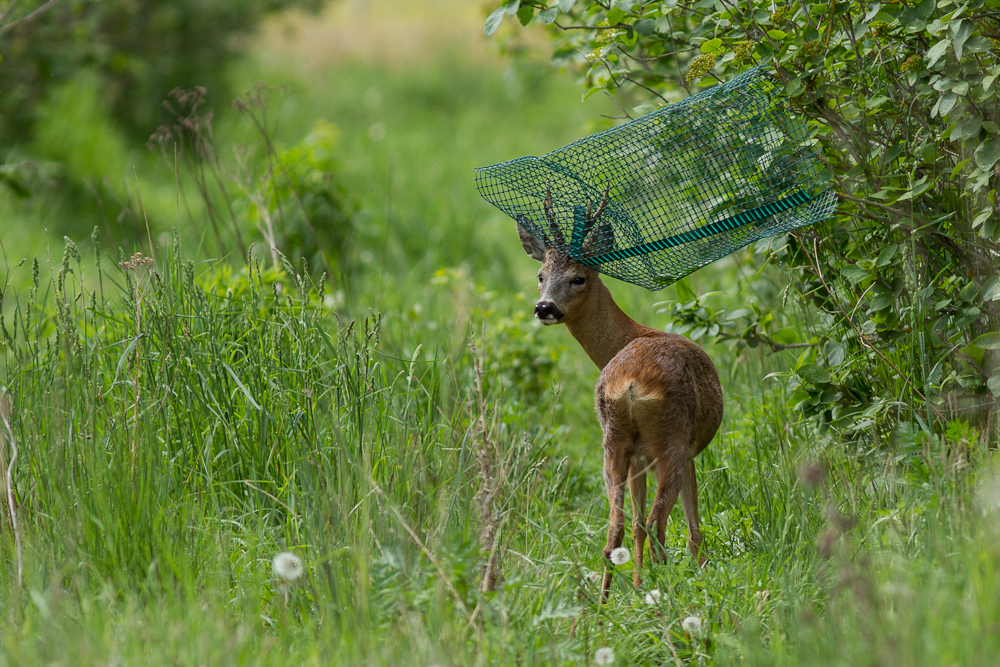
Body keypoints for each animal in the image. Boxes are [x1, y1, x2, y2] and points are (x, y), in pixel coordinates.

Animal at [520, 207, 724, 596]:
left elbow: (636, 523)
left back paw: (606, 600)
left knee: (618, 526)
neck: (629, 337)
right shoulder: (688, 452)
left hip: (613, 442)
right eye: (540, 276)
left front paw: (638, 583)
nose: (544, 307)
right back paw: (668, 591)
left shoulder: (638, 458)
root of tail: (629, 384)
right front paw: (699, 574)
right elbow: (692, 529)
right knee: (658, 523)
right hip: (671, 440)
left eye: (578, 277)